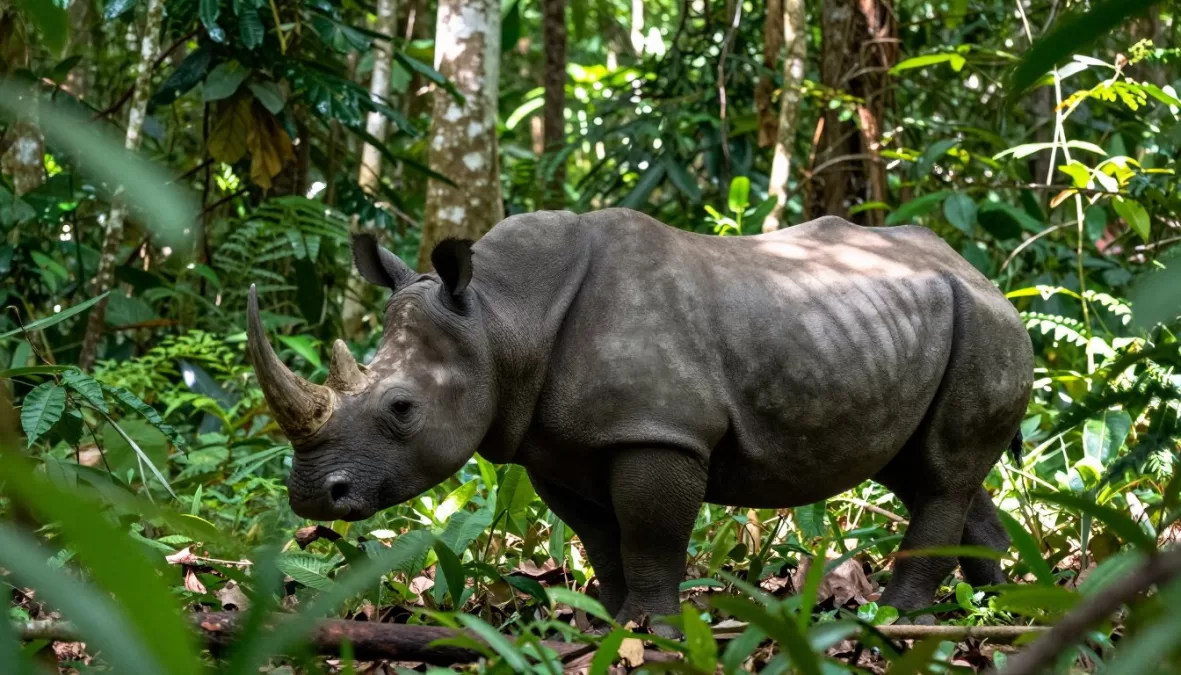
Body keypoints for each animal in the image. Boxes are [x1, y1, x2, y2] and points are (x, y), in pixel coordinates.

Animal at [247, 209, 1033, 636]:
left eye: (402, 409)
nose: (312, 497)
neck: (499, 318)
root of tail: (984, 276)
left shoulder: (657, 431)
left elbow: (651, 531)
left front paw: (652, 627)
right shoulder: (554, 445)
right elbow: (602, 538)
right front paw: (609, 622)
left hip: (985, 326)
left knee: (940, 474)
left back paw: (897, 618)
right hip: (921, 327)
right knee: (927, 472)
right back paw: (995, 603)